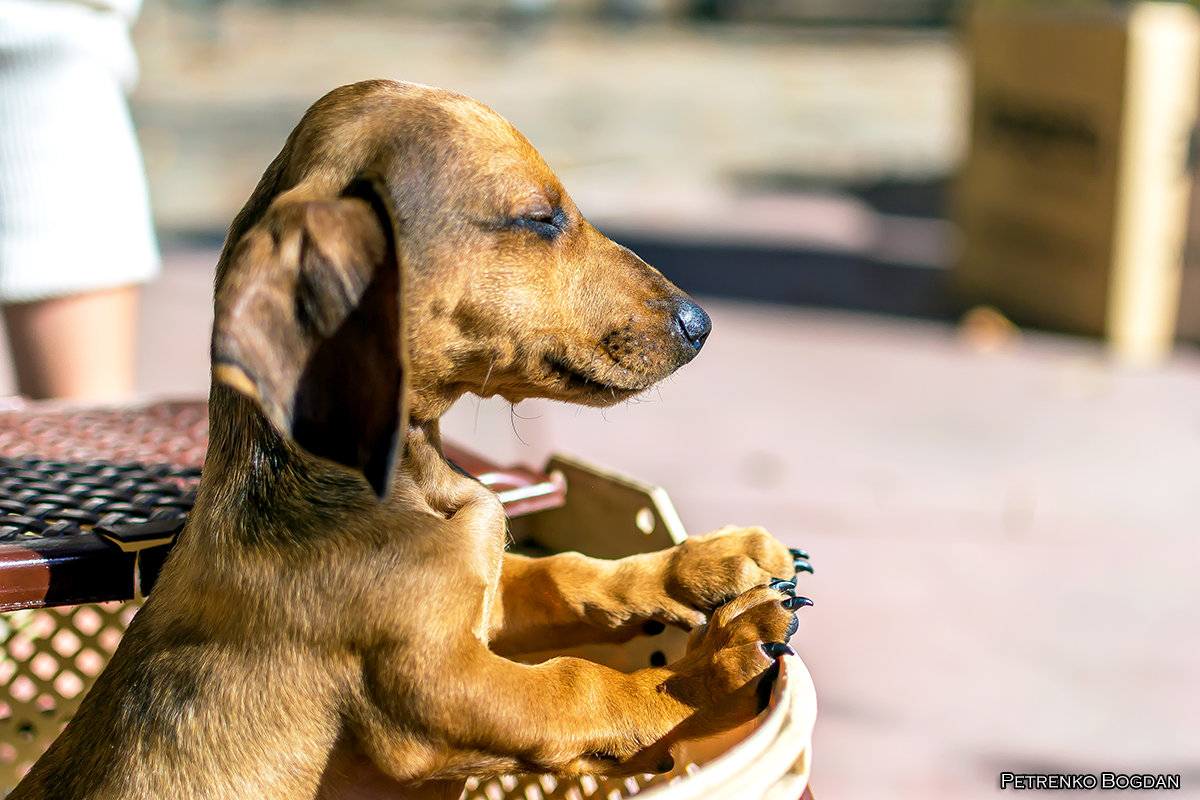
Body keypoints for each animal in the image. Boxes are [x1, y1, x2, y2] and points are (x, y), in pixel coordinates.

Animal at [9, 81, 811, 800]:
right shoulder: (442, 686)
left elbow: (568, 572)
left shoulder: (490, 599)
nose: (700, 324)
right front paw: (714, 666)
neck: (410, 481)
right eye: (538, 218)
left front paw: (710, 564)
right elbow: (582, 684)